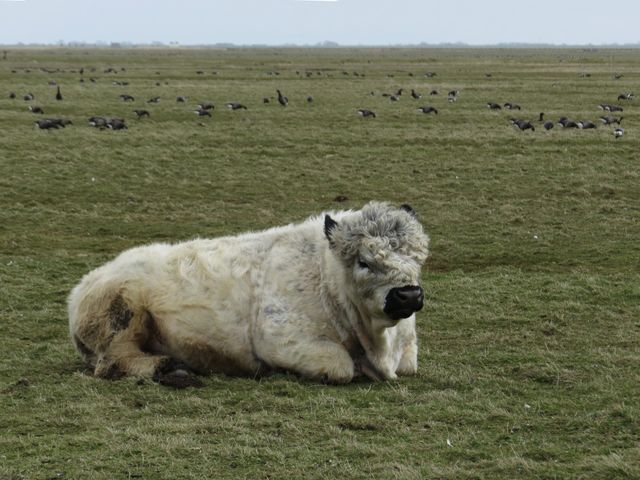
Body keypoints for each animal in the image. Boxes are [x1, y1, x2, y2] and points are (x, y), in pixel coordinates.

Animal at [69, 202, 430, 386]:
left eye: (418, 258)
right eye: (363, 262)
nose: (408, 295)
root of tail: (82, 288)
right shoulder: (281, 339)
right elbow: (340, 367)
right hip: (122, 316)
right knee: (112, 364)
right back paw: (169, 368)